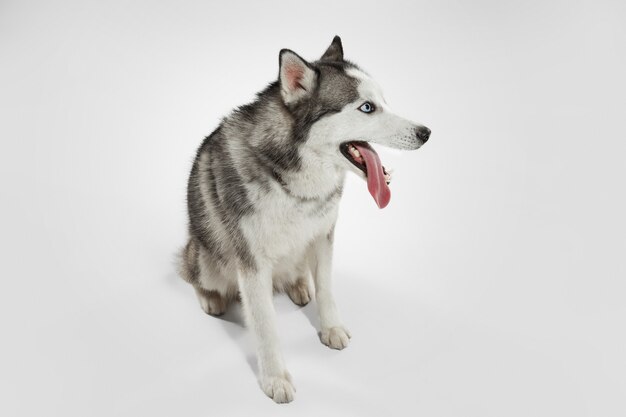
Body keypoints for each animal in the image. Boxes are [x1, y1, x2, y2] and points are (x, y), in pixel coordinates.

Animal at [178, 37, 426, 402]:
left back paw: (298, 285)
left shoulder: (324, 235)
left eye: (383, 101)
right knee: (193, 273)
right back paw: (211, 297)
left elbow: (326, 288)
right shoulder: (252, 262)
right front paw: (275, 377)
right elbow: (266, 325)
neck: (295, 185)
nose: (426, 132)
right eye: (367, 108)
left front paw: (331, 327)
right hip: (207, 257)